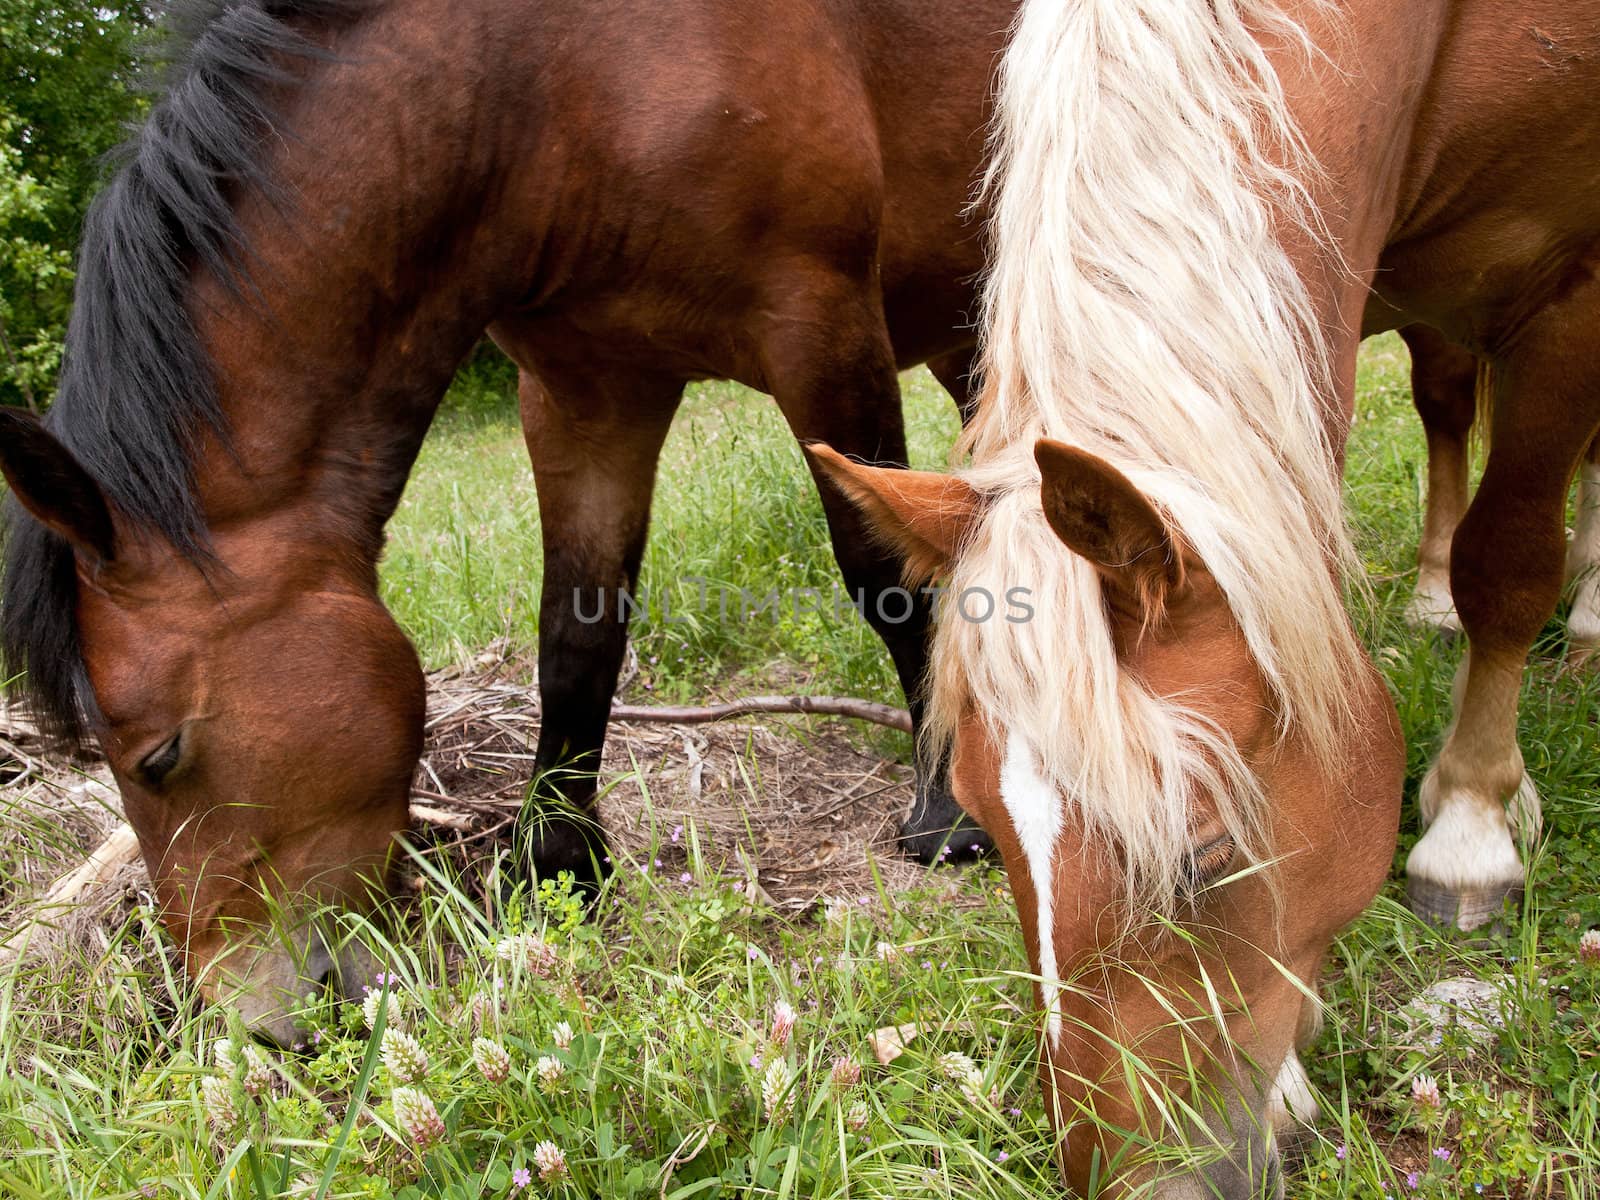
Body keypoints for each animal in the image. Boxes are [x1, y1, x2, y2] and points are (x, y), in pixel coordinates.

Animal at [0, 0, 1017, 1043]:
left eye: (159, 756)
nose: (256, 1020)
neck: (557, 85)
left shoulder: (820, 324)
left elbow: (886, 576)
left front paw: (946, 811)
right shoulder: (584, 391)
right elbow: (577, 628)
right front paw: (557, 859)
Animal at [812, 0, 1600, 1196]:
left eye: (1206, 852)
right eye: (983, 829)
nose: (1143, 1183)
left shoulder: (1568, 281)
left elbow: (1506, 565)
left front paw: (1469, 829)